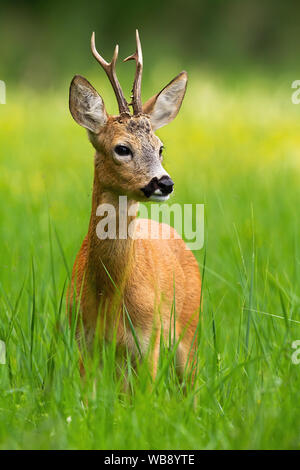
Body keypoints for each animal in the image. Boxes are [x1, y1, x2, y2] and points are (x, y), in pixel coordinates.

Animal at [67, 29, 200, 382]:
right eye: (122, 148)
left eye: (161, 147)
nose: (164, 183)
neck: (108, 298)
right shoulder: (82, 343)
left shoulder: (147, 341)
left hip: (190, 331)